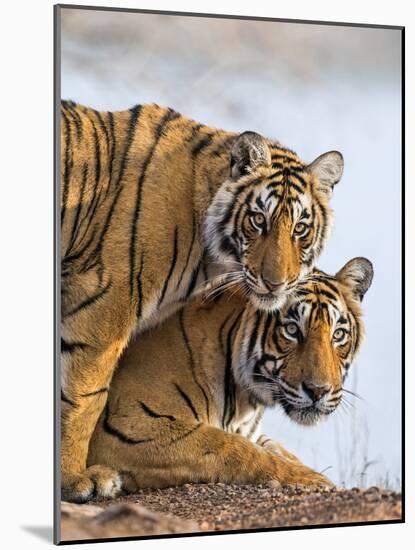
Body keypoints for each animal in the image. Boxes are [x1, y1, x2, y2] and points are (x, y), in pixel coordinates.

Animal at [59, 100, 344, 504]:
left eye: (300, 228)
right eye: (258, 220)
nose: (276, 283)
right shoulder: (101, 308)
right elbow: (84, 397)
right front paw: (73, 480)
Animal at [88, 258, 374, 496]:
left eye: (338, 335)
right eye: (292, 330)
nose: (318, 391)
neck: (244, 400)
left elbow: (277, 448)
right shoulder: (129, 426)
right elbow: (237, 449)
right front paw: (315, 481)